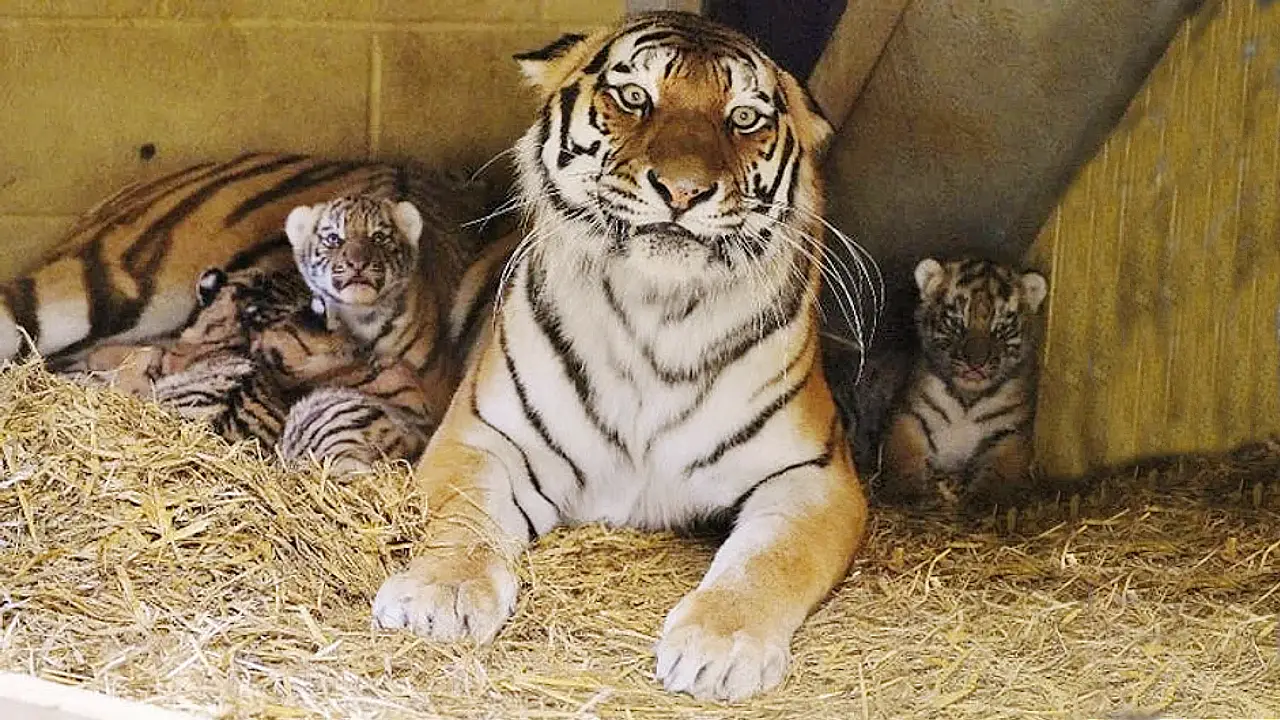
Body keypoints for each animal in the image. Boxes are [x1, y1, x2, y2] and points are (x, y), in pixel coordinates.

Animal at [371, 12, 870, 702]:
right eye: (635, 96)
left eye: (743, 117)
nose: (683, 191)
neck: (658, 316)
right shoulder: (482, 438)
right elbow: (465, 520)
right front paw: (441, 595)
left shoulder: (814, 474)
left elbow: (769, 560)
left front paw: (721, 646)